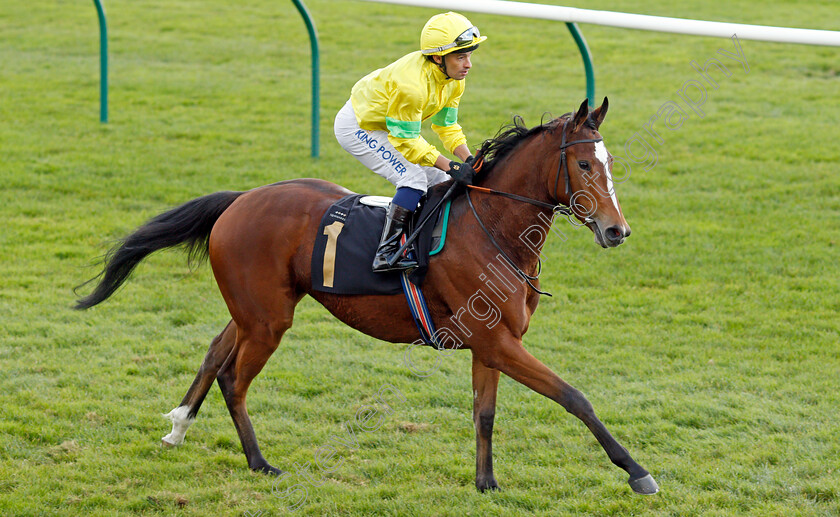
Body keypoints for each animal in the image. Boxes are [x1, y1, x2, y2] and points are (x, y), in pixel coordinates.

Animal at [75, 99, 660, 494]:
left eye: (608, 163)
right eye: (584, 165)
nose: (617, 231)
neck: (493, 228)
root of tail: (240, 200)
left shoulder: (493, 343)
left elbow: (485, 413)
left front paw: (486, 482)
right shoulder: (495, 340)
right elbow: (575, 397)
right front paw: (637, 472)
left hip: (255, 310)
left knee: (215, 351)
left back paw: (178, 427)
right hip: (268, 321)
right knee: (233, 379)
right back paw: (260, 463)